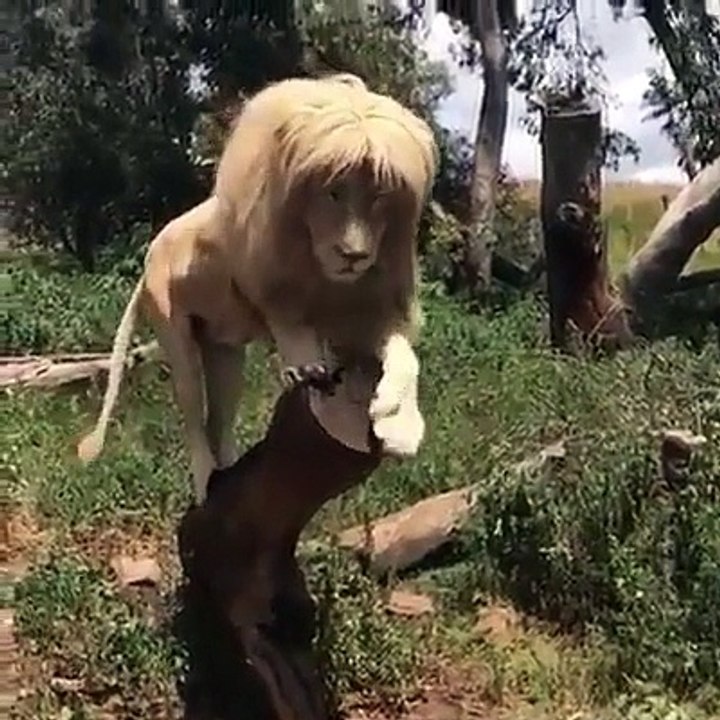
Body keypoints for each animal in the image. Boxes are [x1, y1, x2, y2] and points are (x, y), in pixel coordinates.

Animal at [76, 73, 439, 504]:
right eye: (333, 191)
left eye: (380, 197)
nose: (353, 254)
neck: (322, 271)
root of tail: (149, 256)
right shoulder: (263, 280)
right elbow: (288, 319)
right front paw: (305, 367)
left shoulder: (364, 311)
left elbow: (405, 357)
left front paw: (399, 425)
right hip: (176, 335)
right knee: (193, 416)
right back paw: (206, 483)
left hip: (226, 354)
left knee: (218, 421)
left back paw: (231, 475)